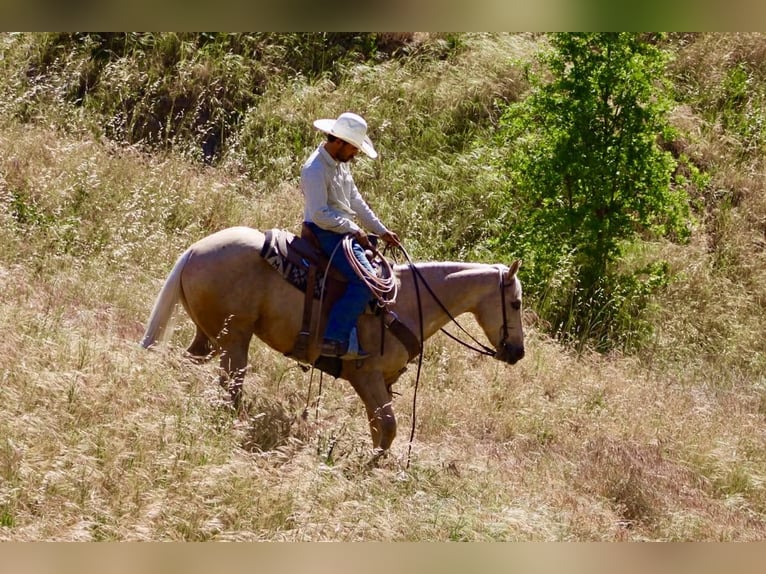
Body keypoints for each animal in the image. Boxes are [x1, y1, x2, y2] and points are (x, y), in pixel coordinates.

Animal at [140, 226, 524, 454]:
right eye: (516, 303)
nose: (518, 352)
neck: (405, 302)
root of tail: (195, 249)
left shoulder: (383, 382)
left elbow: (380, 428)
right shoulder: (366, 376)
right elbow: (388, 427)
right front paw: (369, 468)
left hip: (209, 335)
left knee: (189, 362)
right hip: (234, 340)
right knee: (230, 389)